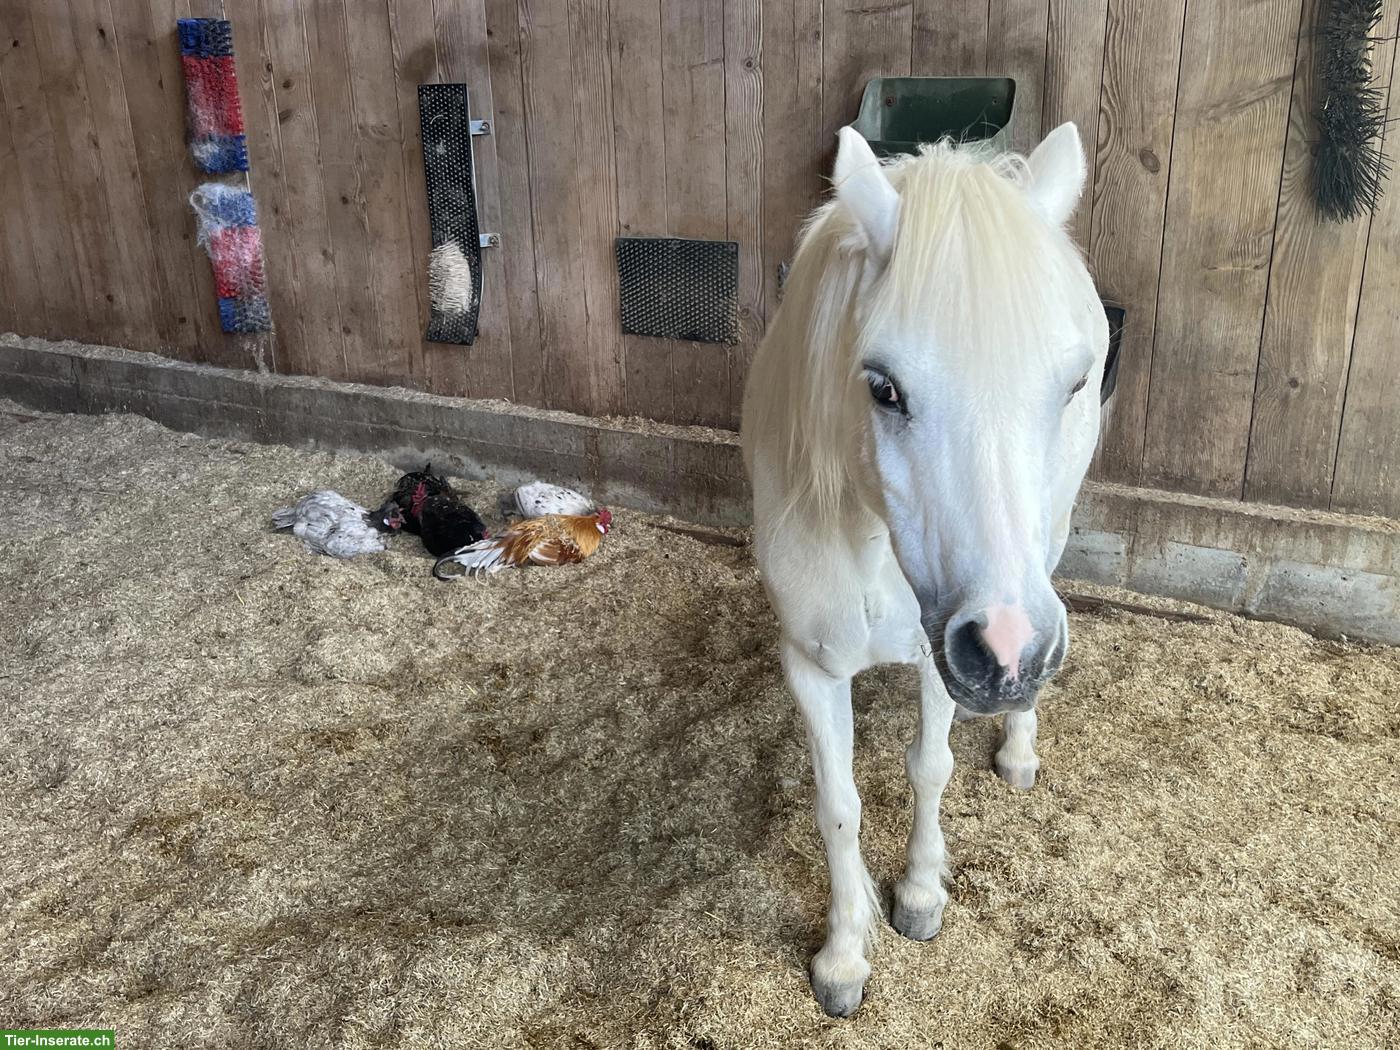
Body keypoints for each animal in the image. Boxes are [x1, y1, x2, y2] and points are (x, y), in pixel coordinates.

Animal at [740, 122, 1107, 1017]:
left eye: (1073, 382)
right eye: (883, 387)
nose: (1008, 653)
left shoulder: (943, 654)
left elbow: (929, 767)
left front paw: (918, 895)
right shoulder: (811, 664)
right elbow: (838, 806)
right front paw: (844, 955)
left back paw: (1018, 745)